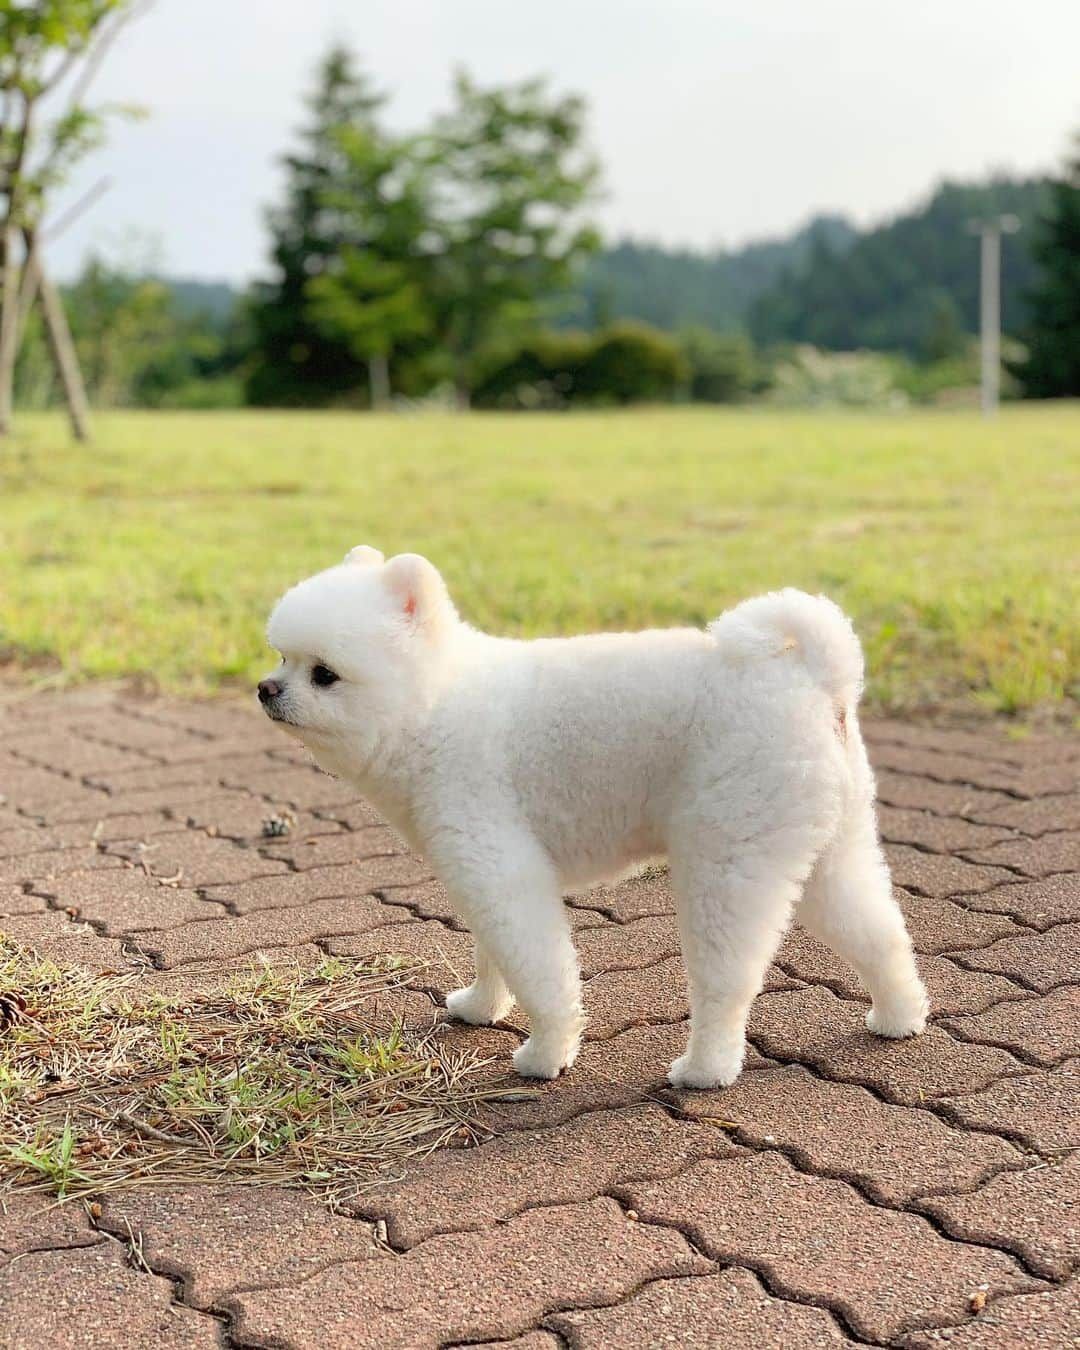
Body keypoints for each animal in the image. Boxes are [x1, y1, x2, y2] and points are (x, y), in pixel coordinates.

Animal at [257, 548, 923, 1085]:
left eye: (323, 674)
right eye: (281, 657)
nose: (266, 688)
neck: (435, 704)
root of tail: (816, 679)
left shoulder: (498, 863)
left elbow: (541, 970)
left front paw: (546, 1052)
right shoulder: (477, 874)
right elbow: (491, 951)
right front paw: (481, 1006)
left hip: (728, 857)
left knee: (727, 981)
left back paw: (705, 1069)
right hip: (826, 847)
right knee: (881, 933)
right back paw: (900, 1016)